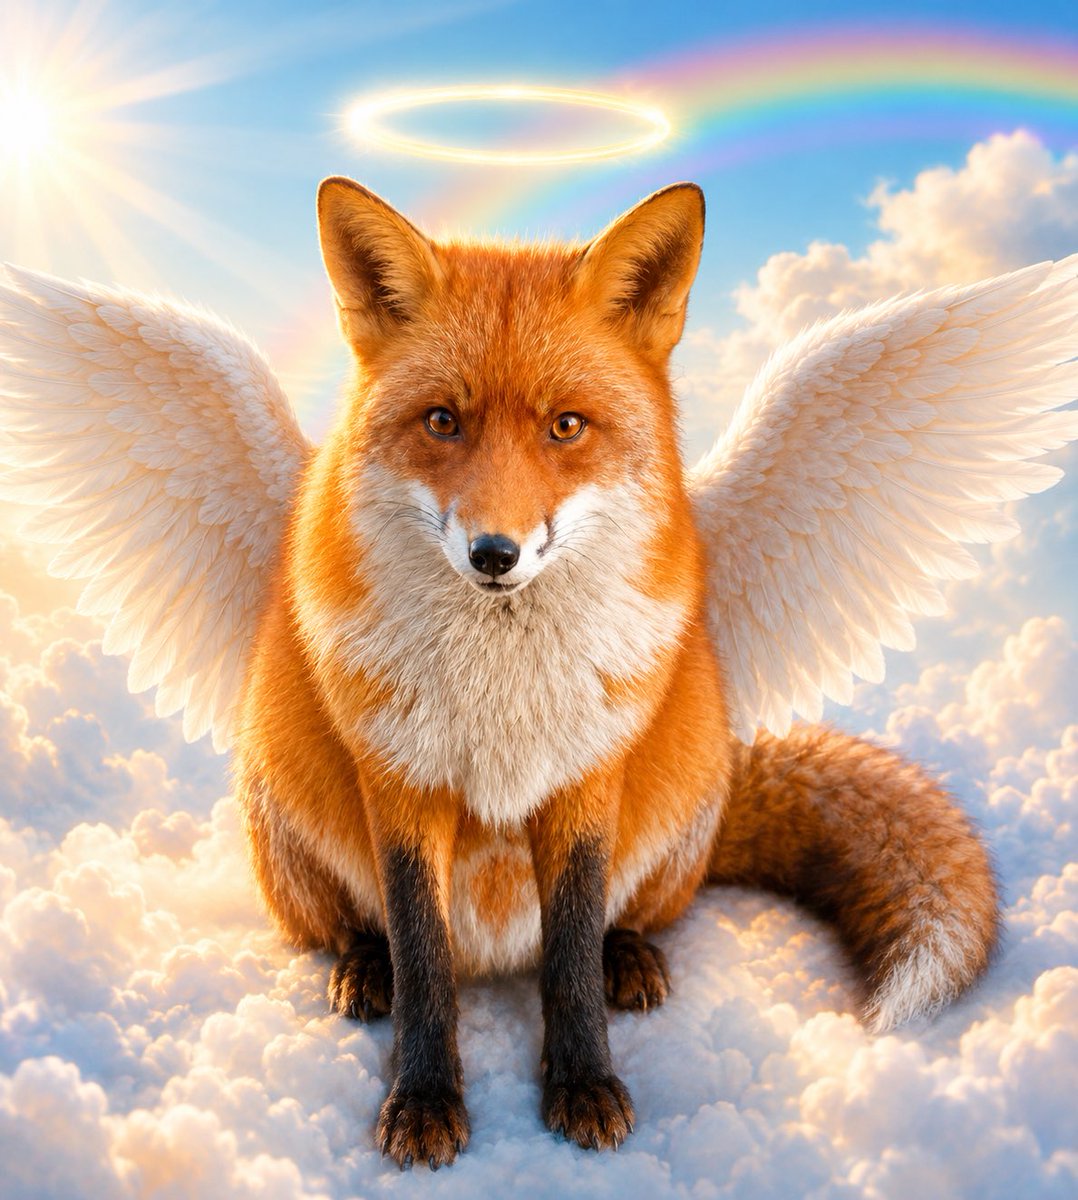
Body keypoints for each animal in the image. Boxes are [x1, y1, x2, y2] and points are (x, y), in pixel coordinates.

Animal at [231, 177, 1002, 1168]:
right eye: (442, 421)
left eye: (567, 426)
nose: (494, 553)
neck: (503, 687)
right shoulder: (401, 781)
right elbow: (423, 957)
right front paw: (425, 1099)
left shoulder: (586, 777)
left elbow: (568, 955)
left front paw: (582, 1084)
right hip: (284, 814)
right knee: (360, 931)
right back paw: (364, 968)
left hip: (679, 804)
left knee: (625, 917)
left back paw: (628, 958)